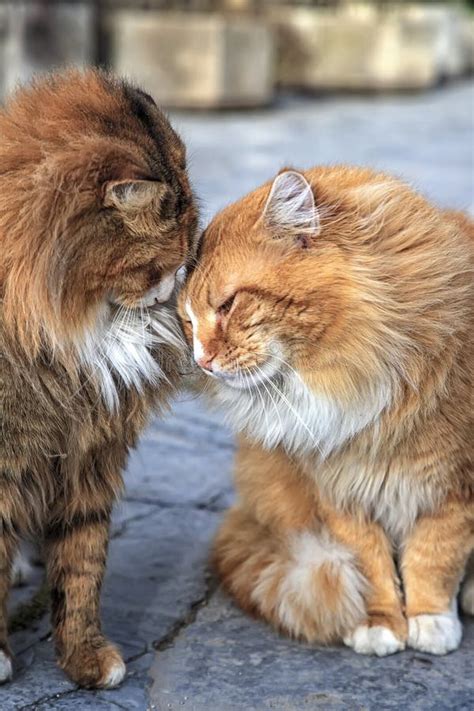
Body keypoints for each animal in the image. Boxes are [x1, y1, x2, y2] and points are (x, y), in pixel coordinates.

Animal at [0, 69, 196, 688]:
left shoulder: (90, 457)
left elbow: (80, 572)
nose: (178, 282)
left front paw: (87, 659)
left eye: (190, 248)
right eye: (155, 265)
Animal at [179, 167, 474, 656]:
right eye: (187, 322)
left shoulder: (454, 487)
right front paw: (380, 623)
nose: (201, 360)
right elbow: (371, 564)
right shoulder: (339, 491)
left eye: (228, 304)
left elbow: (435, 557)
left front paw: (430, 618)